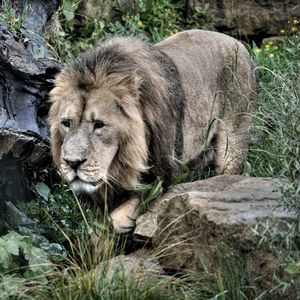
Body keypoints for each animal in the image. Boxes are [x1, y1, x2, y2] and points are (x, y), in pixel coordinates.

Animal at [49, 29, 258, 233]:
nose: (72, 163)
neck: (122, 162)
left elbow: (117, 217)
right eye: (66, 123)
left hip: (233, 143)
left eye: (99, 124)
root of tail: (239, 43)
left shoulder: (163, 176)